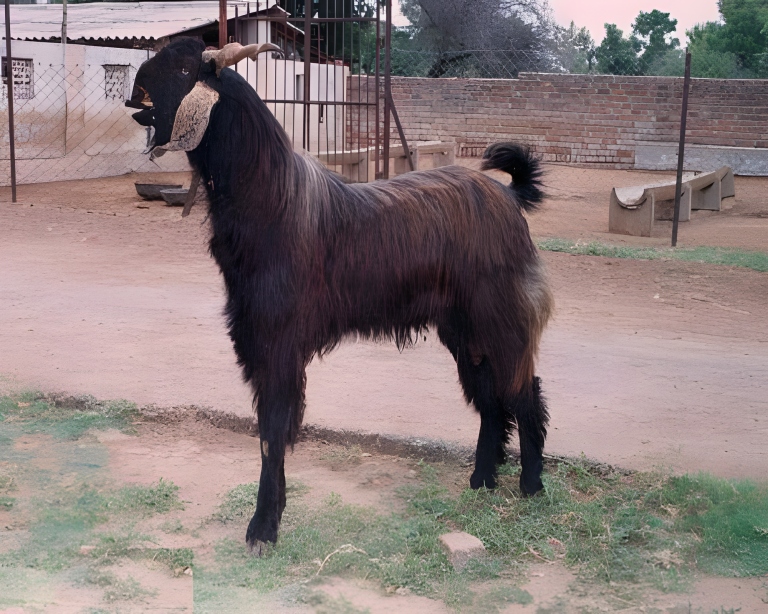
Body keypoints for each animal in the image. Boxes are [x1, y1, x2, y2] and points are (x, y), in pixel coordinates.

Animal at [127, 38, 554, 555]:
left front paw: (263, 527)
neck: (272, 200)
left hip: (501, 319)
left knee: (524, 392)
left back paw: (531, 485)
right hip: (463, 330)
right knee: (491, 399)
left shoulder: (279, 342)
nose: (136, 88)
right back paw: (482, 480)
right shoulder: (260, 341)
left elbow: (273, 431)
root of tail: (508, 198)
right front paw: (272, 516)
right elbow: (271, 432)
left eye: (185, 68)